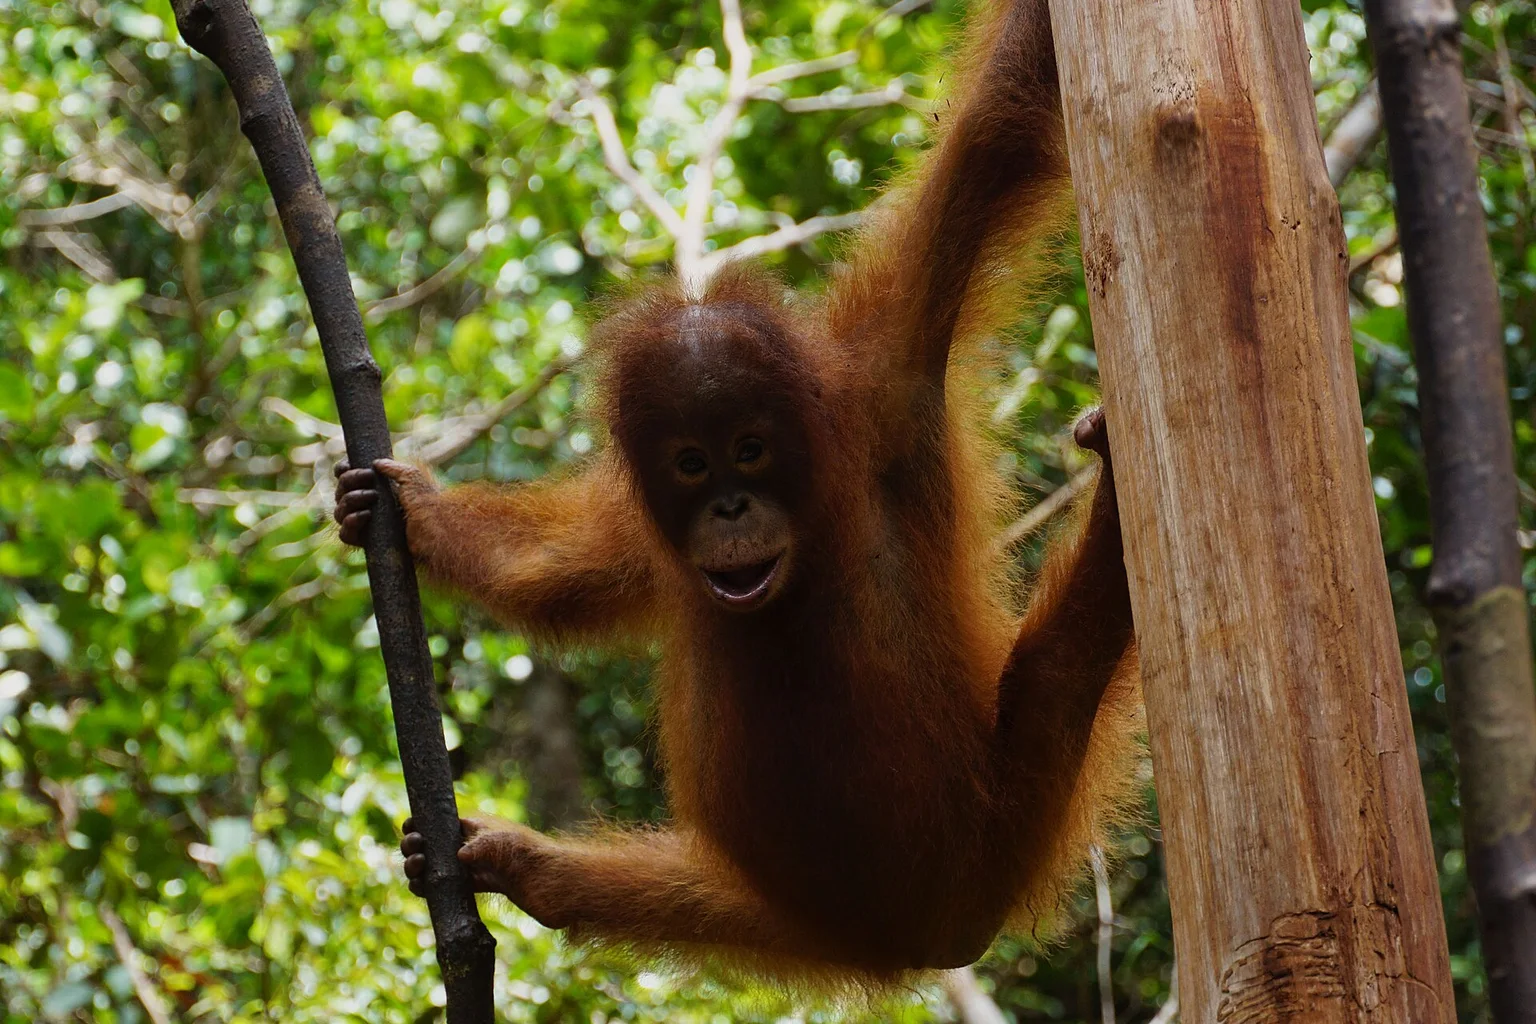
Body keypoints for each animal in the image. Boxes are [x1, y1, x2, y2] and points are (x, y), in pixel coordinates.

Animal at [333, 0, 1140, 980]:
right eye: (692, 463)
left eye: (750, 450)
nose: (729, 507)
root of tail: (933, 942)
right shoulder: (643, 531)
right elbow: (550, 573)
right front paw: (412, 509)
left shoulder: (886, 375)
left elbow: (998, 132)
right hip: (788, 920)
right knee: (679, 898)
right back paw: (529, 869)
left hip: (1010, 818)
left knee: (1064, 666)